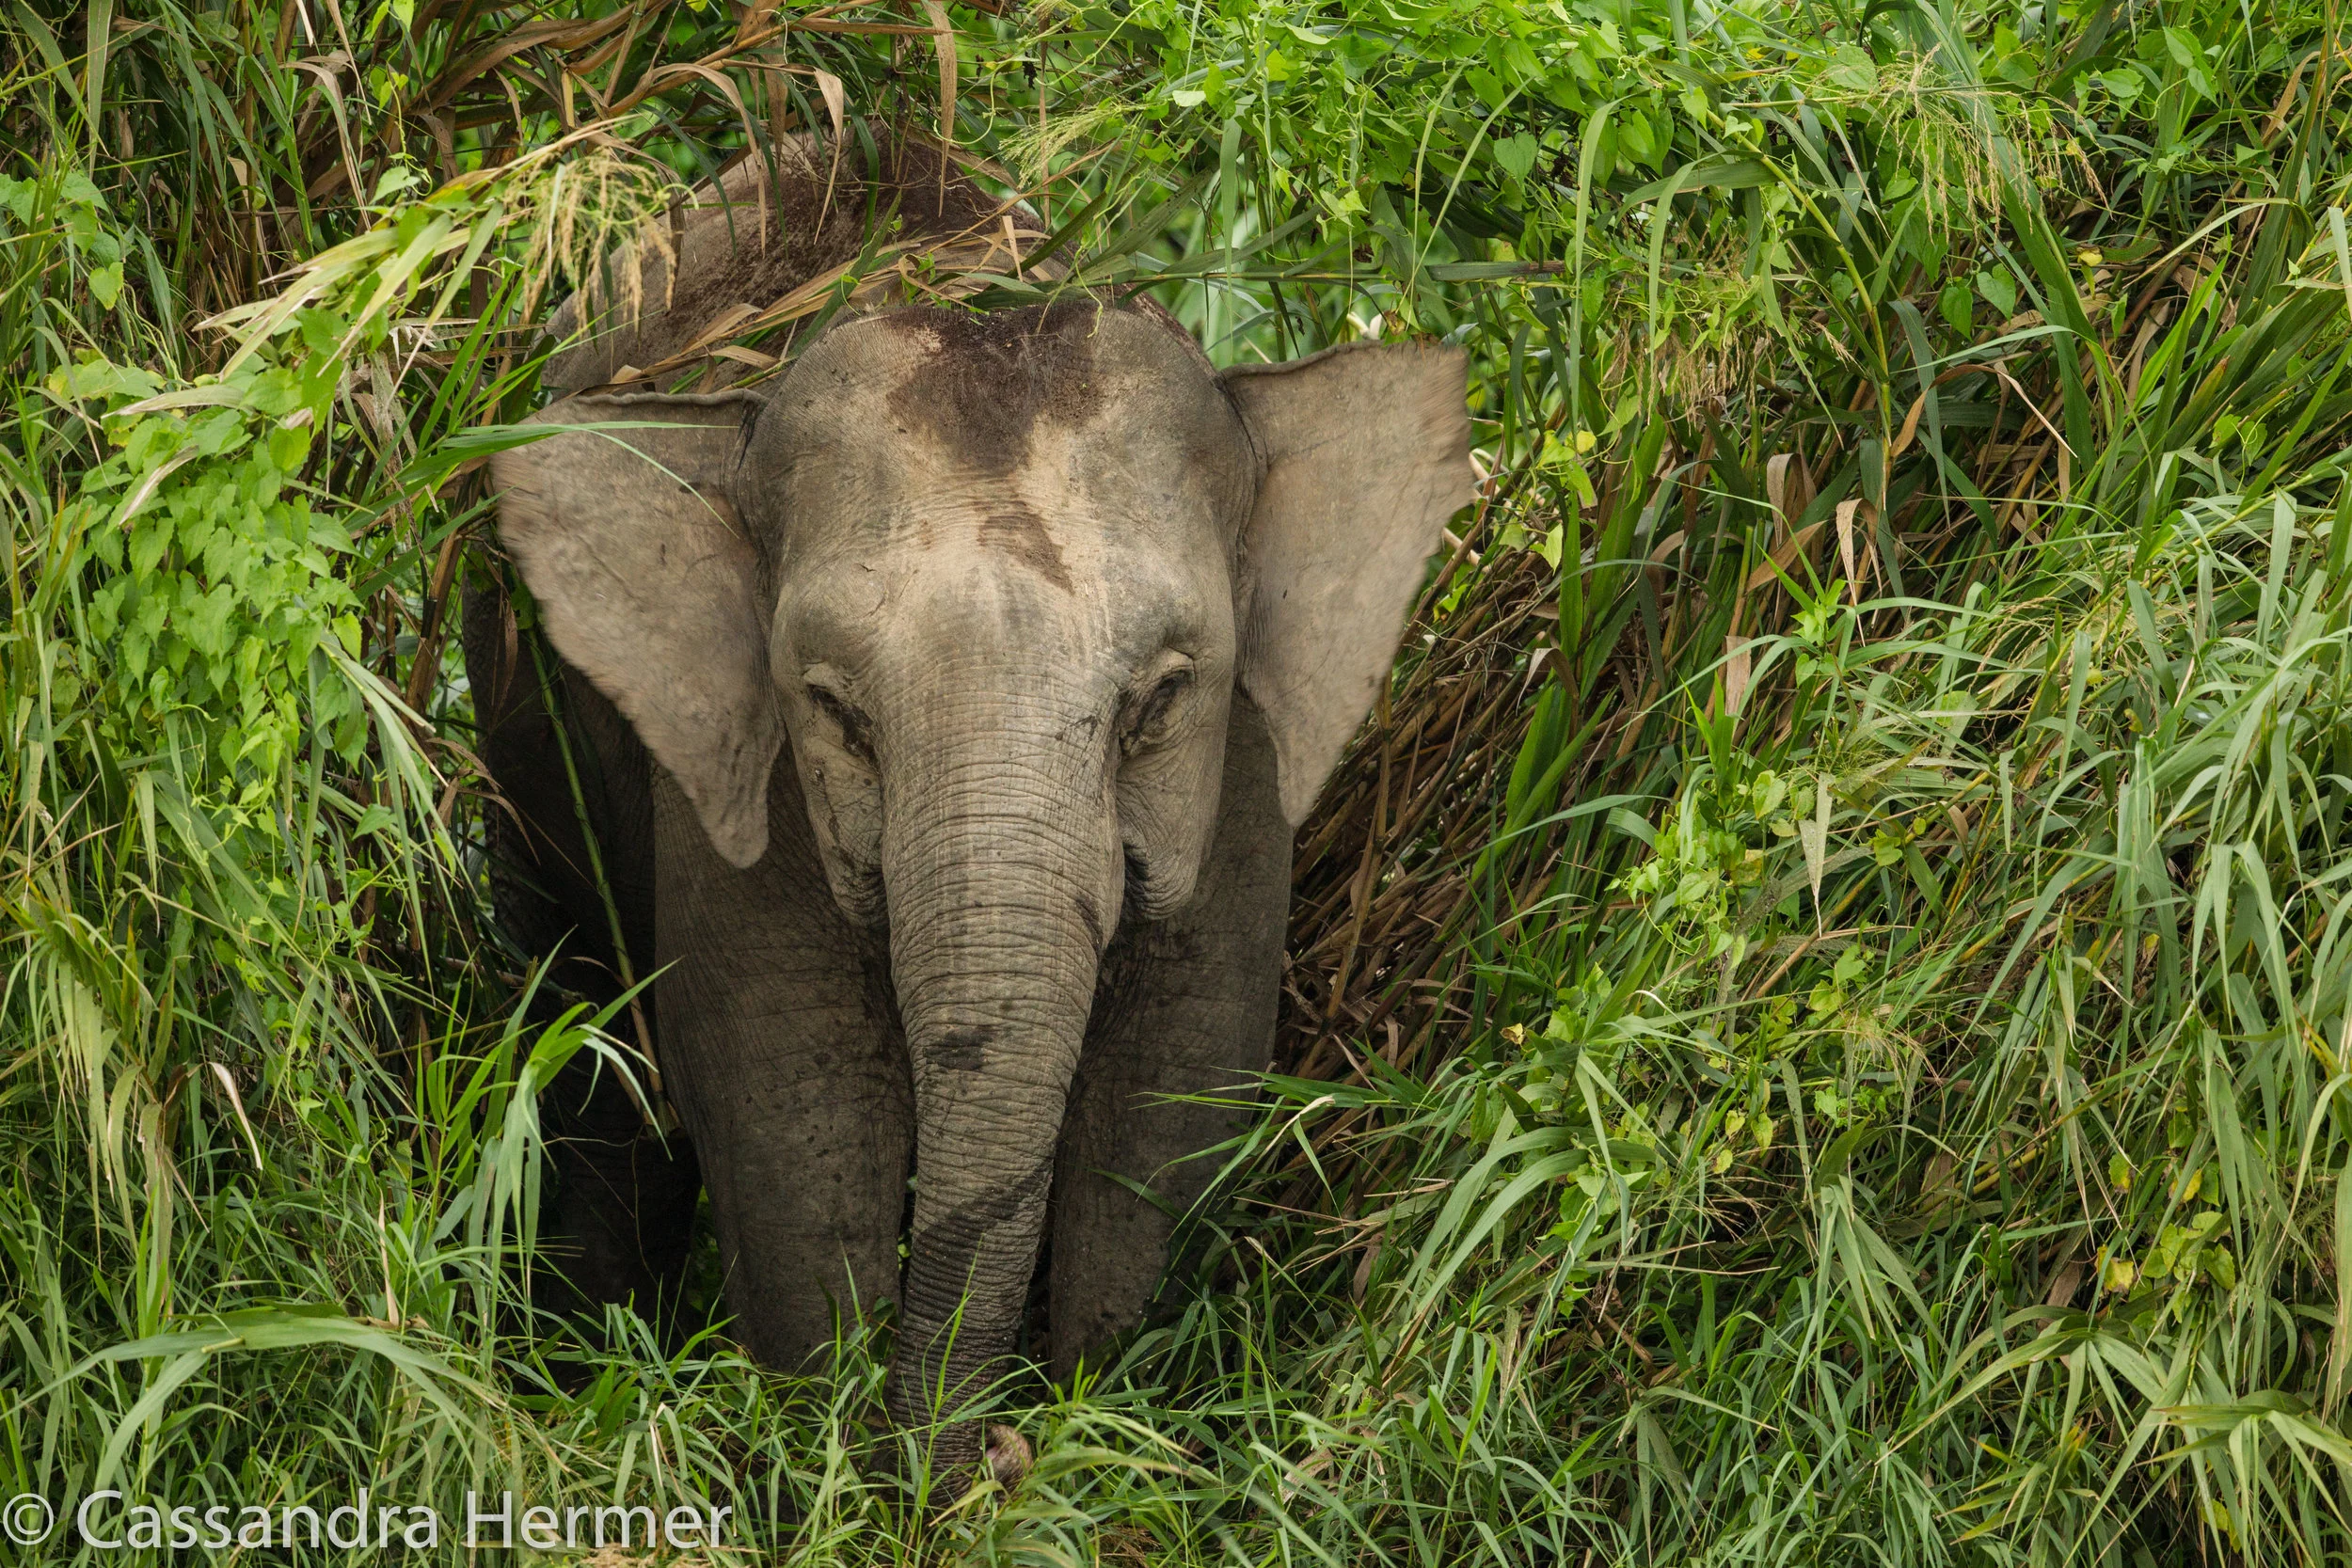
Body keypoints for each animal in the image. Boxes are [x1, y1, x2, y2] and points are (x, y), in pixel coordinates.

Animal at [461, 136, 1471, 1485]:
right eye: (839, 711)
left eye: (1158, 698)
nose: (994, 1446)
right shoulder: (742, 780)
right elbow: (792, 1099)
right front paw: (844, 1470)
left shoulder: (1246, 750)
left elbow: (1180, 1080)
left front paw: (1104, 1440)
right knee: (580, 1019)